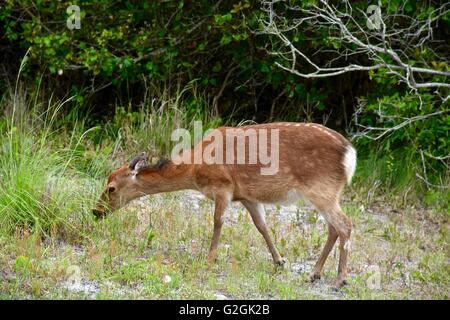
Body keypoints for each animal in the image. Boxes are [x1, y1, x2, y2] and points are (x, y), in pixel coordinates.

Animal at [93, 122, 356, 288]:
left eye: (111, 188)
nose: (96, 211)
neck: (195, 169)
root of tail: (350, 155)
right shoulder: (247, 196)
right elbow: (262, 226)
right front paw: (279, 261)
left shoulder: (223, 187)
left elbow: (217, 222)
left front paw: (209, 259)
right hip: (325, 193)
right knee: (333, 228)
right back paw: (315, 274)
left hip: (321, 189)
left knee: (345, 224)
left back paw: (339, 280)